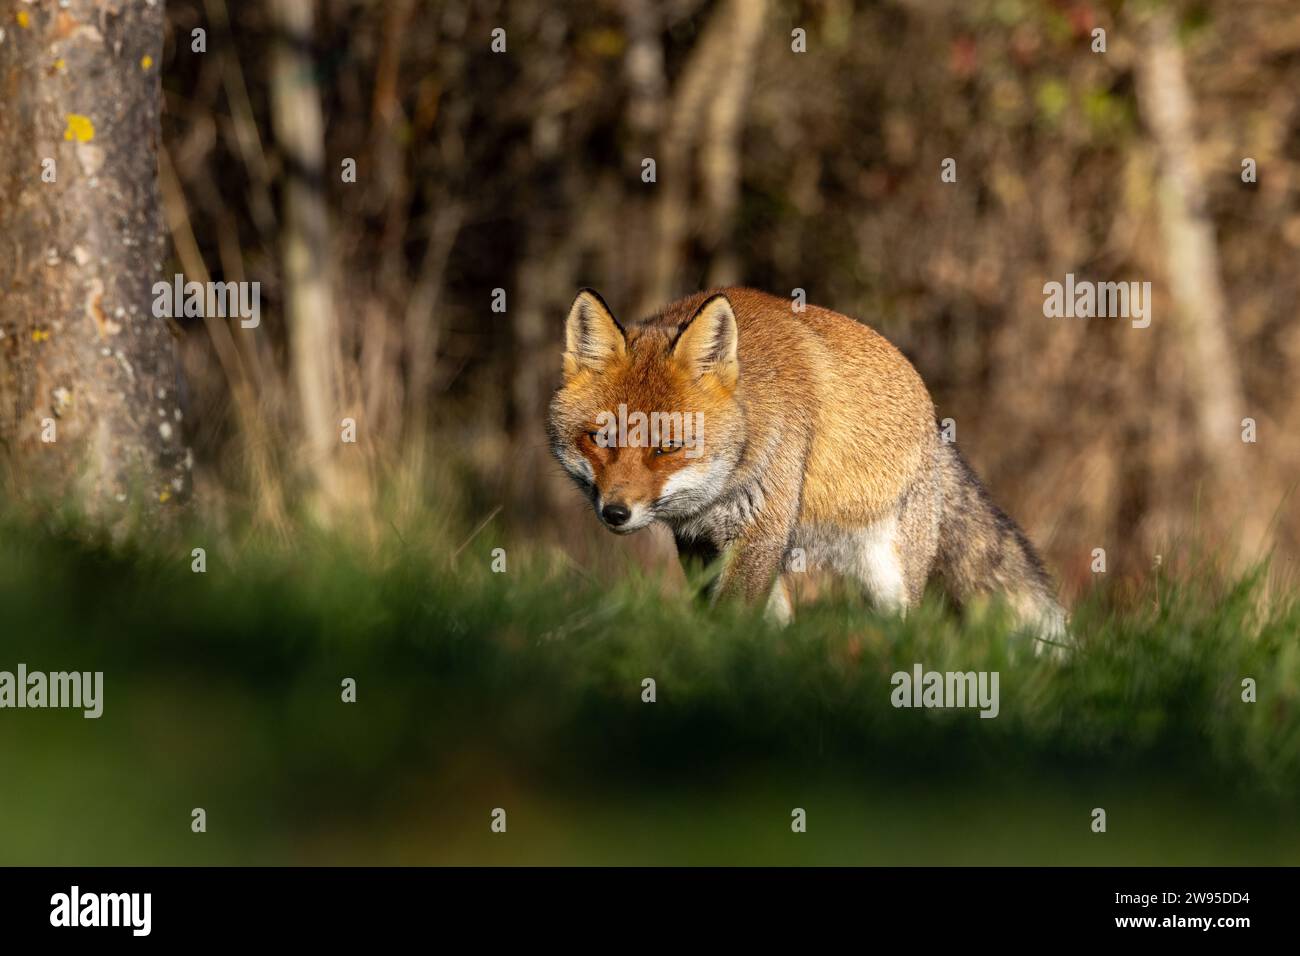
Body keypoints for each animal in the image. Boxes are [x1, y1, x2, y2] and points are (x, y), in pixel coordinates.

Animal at [547, 287, 1068, 652]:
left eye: (669, 447)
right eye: (601, 439)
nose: (616, 513)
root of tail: (933, 423)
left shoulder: (760, 530)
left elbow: (728, 615)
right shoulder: (699, 539)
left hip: (888, 577)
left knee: (906, 627)